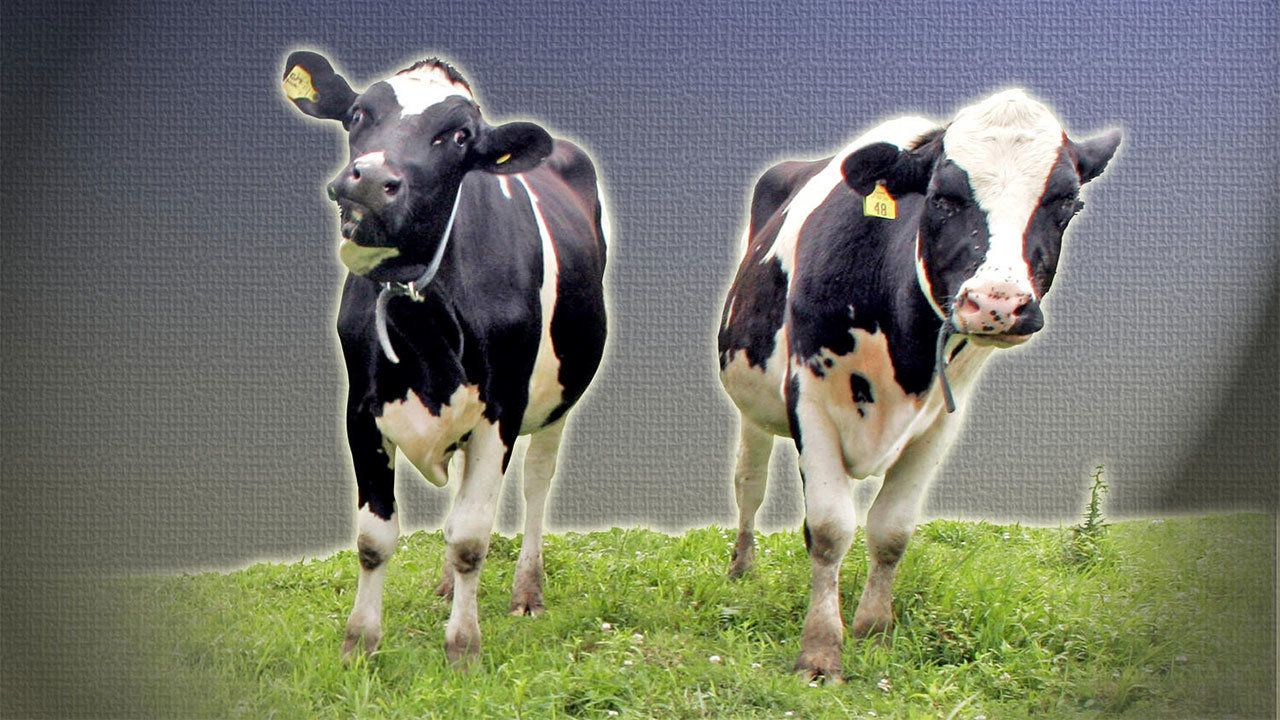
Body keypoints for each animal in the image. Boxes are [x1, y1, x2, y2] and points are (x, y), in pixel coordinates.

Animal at [281, 51, 607, 667]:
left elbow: (471, 540)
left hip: (557, 398)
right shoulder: (361, 410)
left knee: (536, 483)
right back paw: (443, 587)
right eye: (357, 114)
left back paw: (527, 591)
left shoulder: (500, 412)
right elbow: (373, 540)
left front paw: (463, 647)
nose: (370, 179)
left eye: (459, 136)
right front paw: (359, 644)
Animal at [717, 90, 1119, 682]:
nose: (997, 304)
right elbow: (830, 530)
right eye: (942, 197)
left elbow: (892, 531)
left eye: (1067, 202)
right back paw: (742, 569)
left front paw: (874, 631)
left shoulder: (941, 421)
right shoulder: (808, 396)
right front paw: (820, 654)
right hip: (753, 405)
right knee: (749, 484)